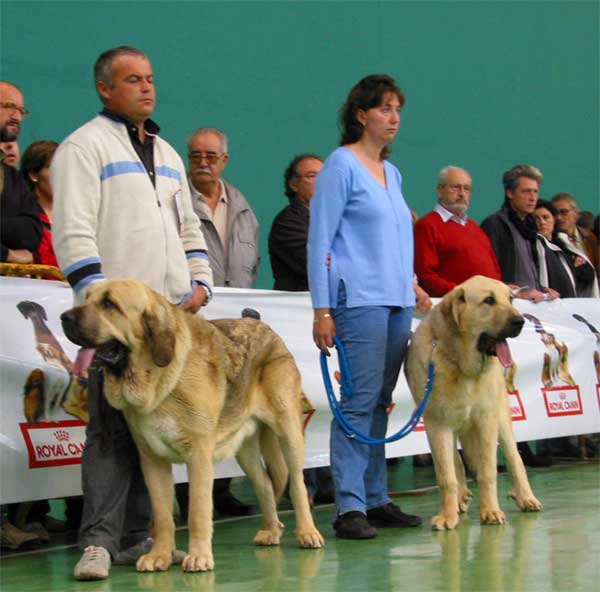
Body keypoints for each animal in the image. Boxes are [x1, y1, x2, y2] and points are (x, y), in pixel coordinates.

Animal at [61, 280, 324, 572]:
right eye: (86, 298)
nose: (64, 317)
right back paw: (271, 530)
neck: (158, 378)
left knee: (297, 483)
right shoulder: (152, 461)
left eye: (109, 304)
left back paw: (307, 532)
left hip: (288, 431)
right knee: (265, 483)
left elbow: (198, 511)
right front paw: (160, 555)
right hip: (244, 449)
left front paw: (198, 556)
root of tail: (269, 330)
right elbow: (163, 516)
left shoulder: (198, 456)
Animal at [406, 276, 540, 528]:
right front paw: (448, 515)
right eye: (489, 300)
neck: (459, 362)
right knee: (456, 463)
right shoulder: (437, 424)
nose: (520, 321)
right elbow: (446, 475)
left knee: (515, 459)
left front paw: (490, 511)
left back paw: (526, 497)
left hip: (501, 419)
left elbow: (487, 471)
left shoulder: (486, 420)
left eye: (510, 299)